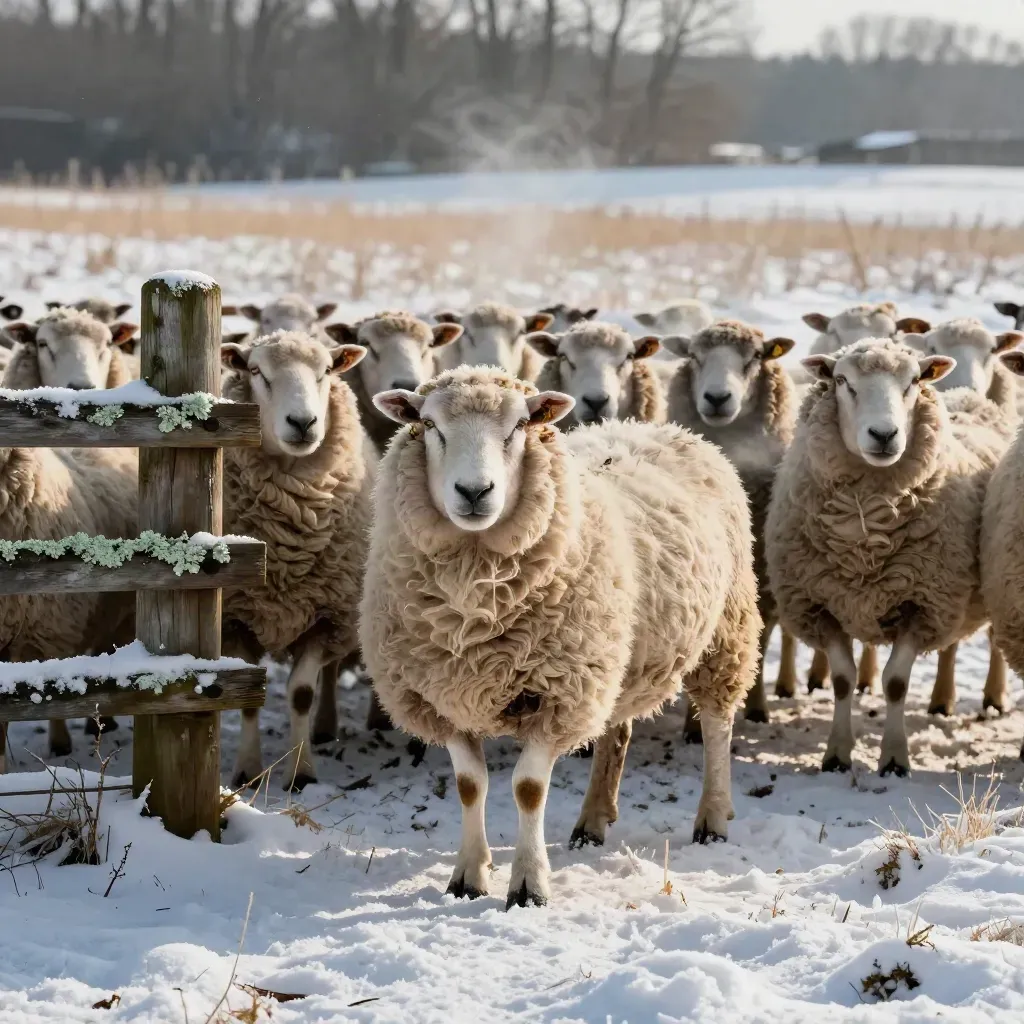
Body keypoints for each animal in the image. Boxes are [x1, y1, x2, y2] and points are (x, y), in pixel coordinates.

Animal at [219, 329, 373, 789]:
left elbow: (302, 693)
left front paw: (301, 772)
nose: (303, 423)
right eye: (256, 371)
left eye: (326, 370)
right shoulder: (234, 617)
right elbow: (248, 698)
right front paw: (247, 771)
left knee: (331, 673)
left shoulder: (326, 615)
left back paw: (324, 727)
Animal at [363, 366, 760, 908]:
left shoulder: (557, 694)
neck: (476, 595)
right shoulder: (444, 694)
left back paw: (713, 819)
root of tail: (657, 425)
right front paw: (468, 876)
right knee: (616, 731)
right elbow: (470, 785)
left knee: (718, 723)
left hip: (726, 629)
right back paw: (592, 821)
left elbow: (528, 789)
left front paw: (529, 886)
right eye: (429, 425)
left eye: (519, 426)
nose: (474, 492)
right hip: (614, 656)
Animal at [659, 319, 798, 723]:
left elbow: (761, 630)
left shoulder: (761, 569)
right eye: (694, 355)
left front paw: (757, 706)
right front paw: (692, 723)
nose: (717, 398)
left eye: (755, 357)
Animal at [766, 338, 1012, 776]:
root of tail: (966, 396)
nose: (884, 434)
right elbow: (843, 680)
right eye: (842, 381)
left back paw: (993, 697)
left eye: (913, 381)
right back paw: (942, 700)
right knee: (949, 648)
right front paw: (836, 755)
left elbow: (896, 683)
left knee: (994, 642)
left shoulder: (922, 602)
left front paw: (895, 759)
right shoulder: (820, 602)